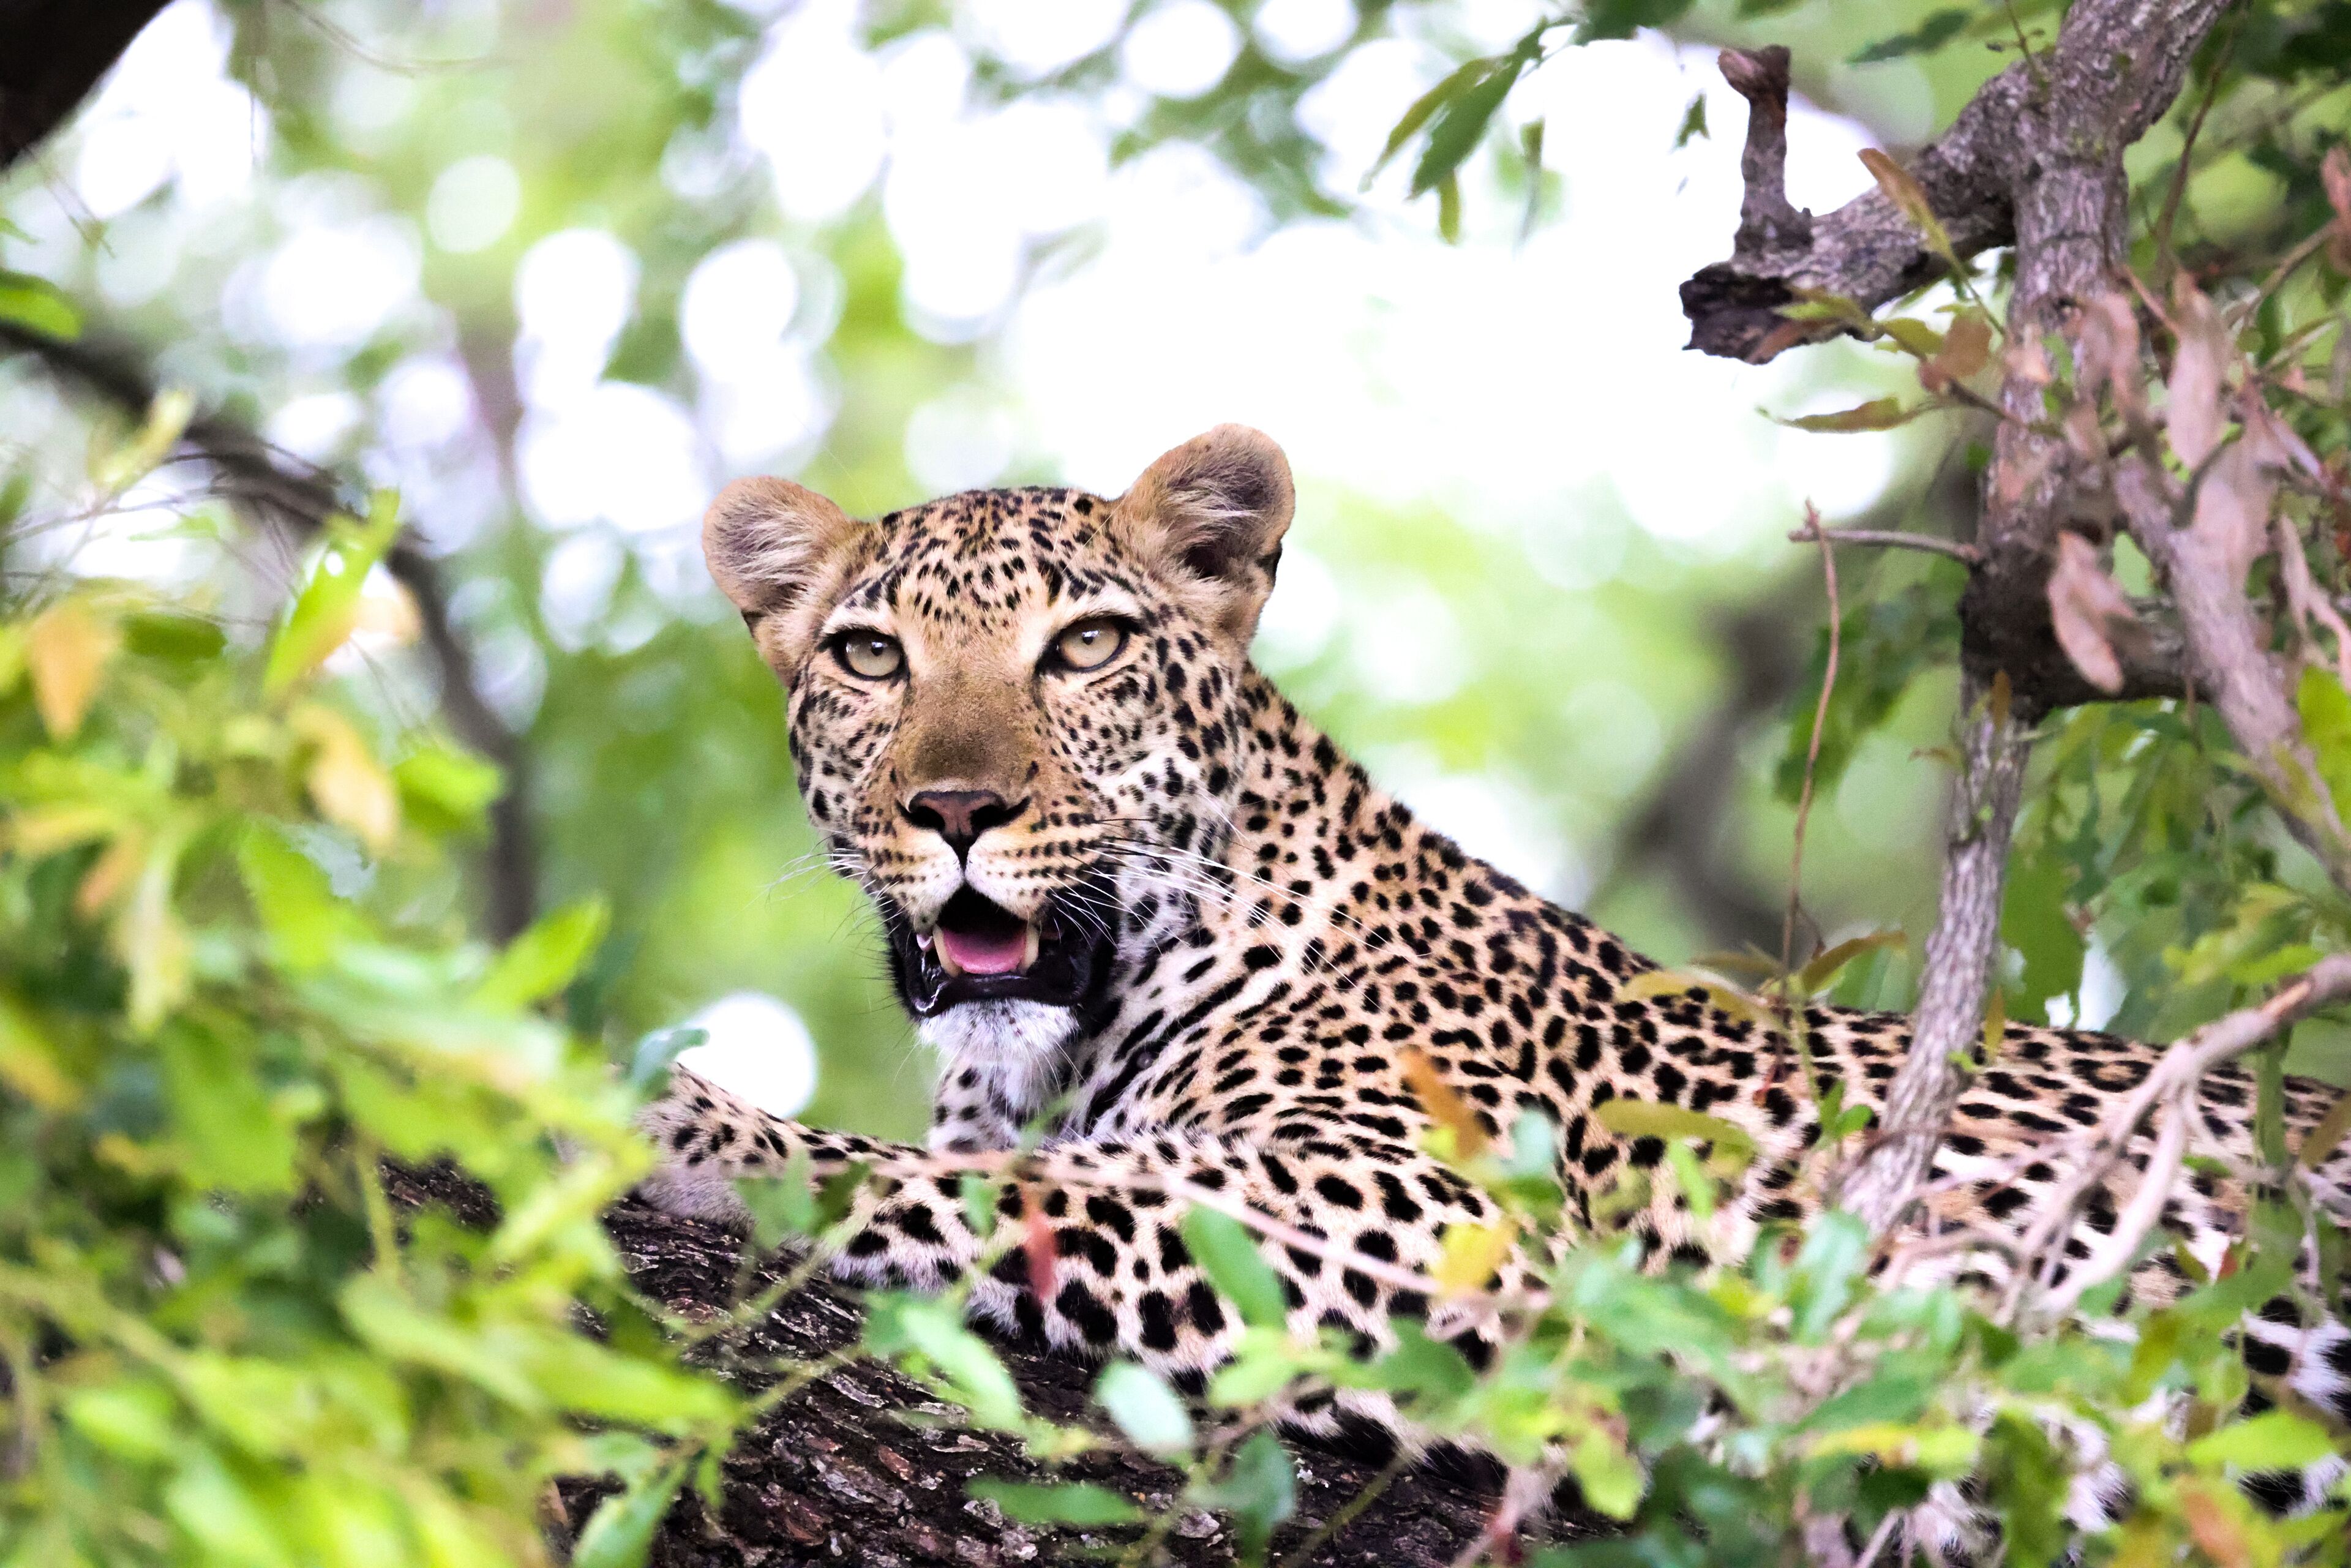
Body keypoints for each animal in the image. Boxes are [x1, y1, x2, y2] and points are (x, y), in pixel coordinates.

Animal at [642, 423, 2351, 1542]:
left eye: (1083, 648)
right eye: (871, 657)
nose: (955, 807)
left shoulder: (1437, 1220)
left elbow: (996, 1187)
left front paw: (690, 1123)